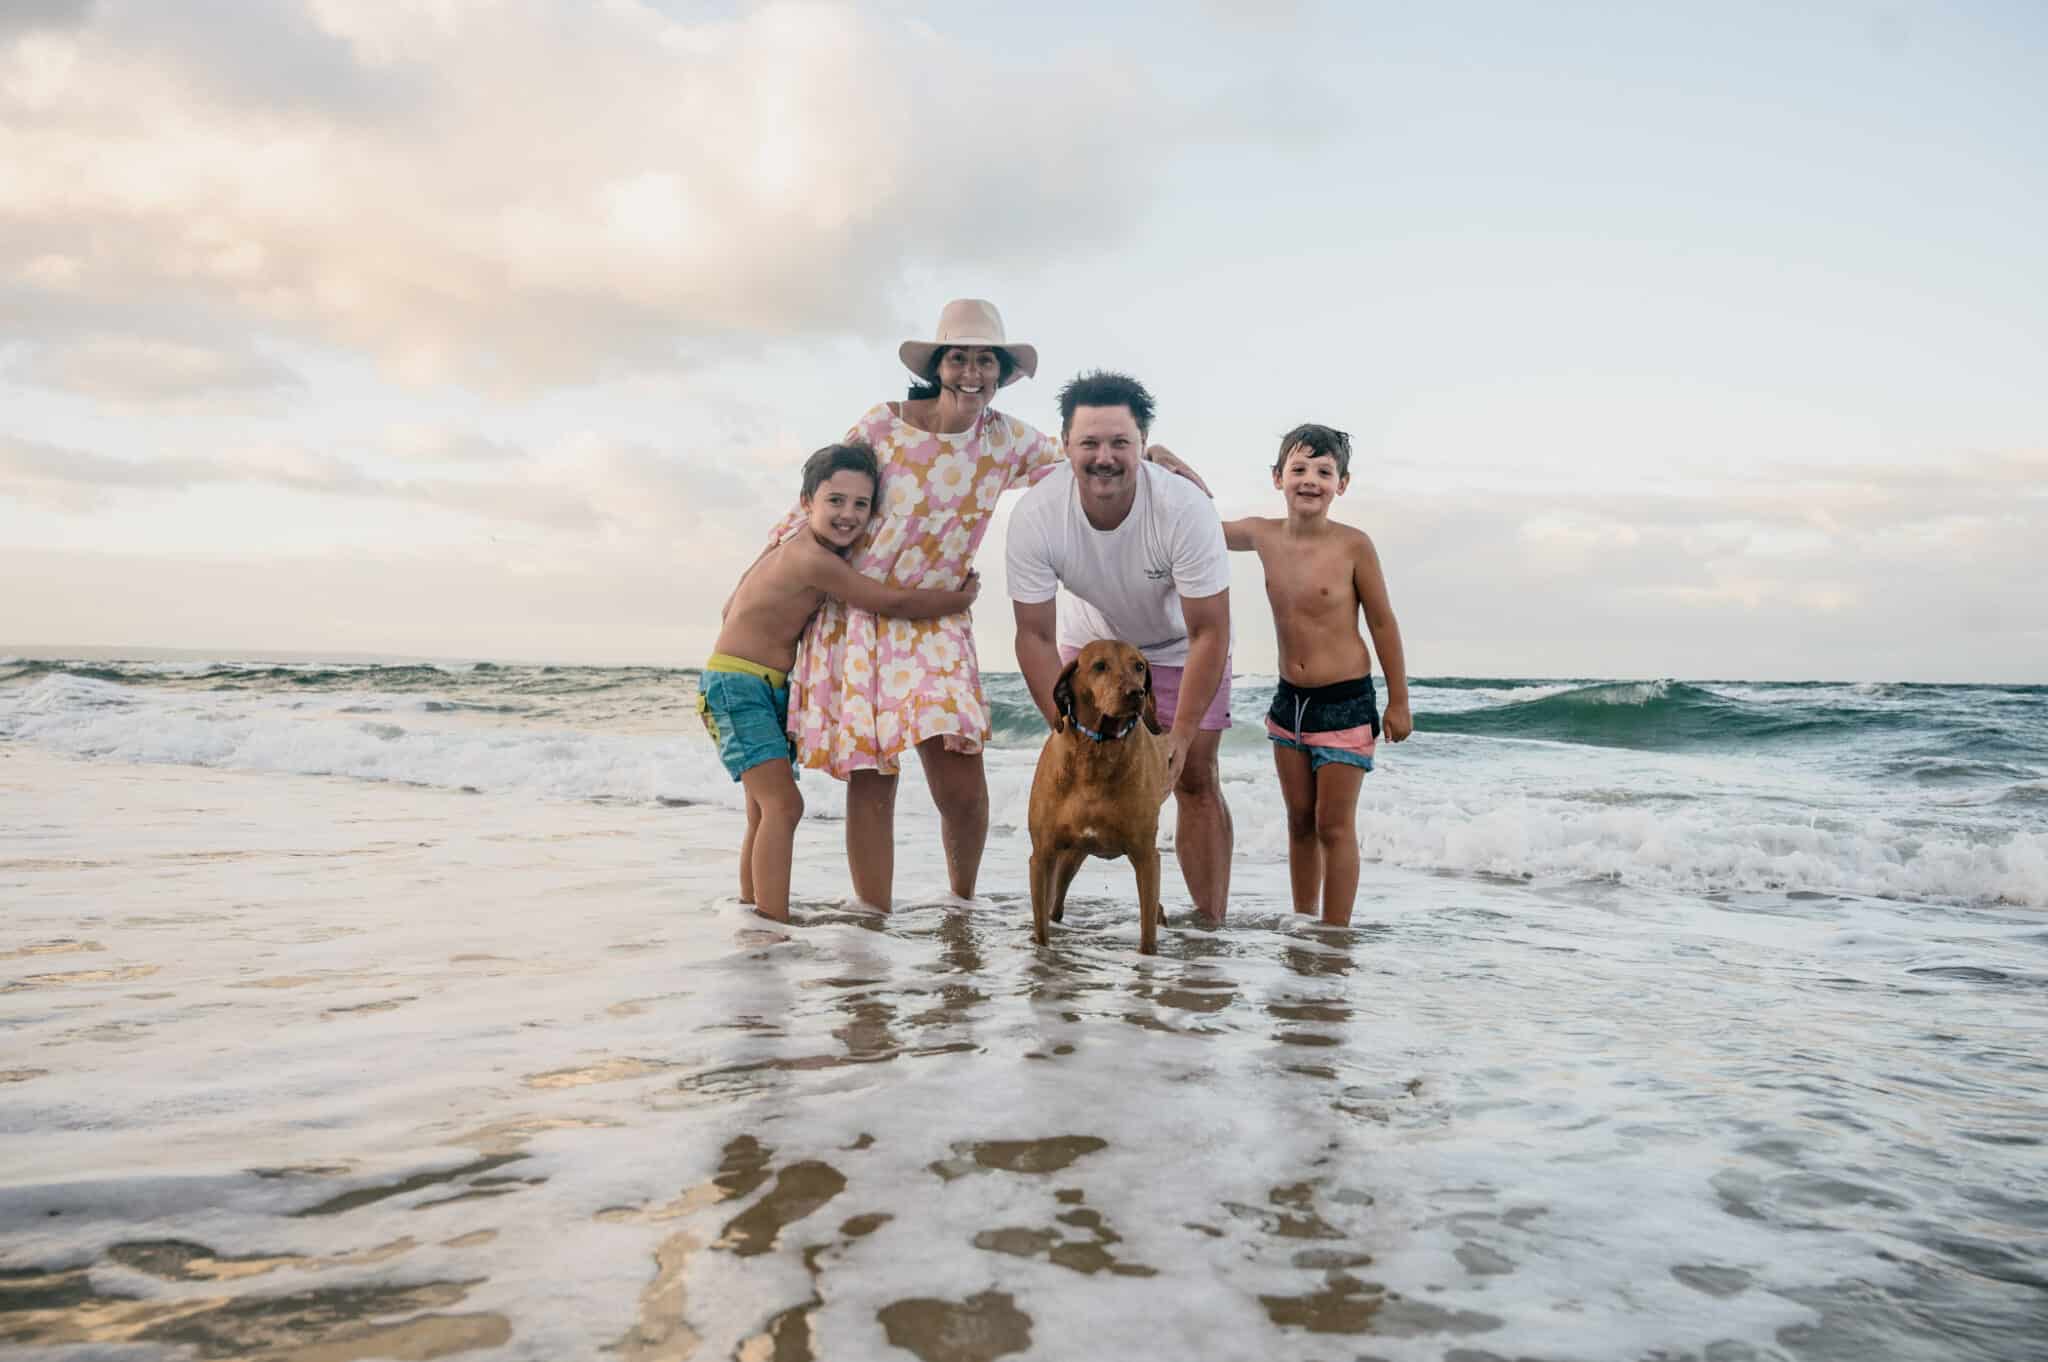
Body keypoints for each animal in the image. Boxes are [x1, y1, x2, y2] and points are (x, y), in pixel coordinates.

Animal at [1026, 639, 1170, 954]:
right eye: (1100, 666)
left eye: (1139, 666)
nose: (1136, 693)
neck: (1098, 751)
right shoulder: (1042, 855)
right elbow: (1041, 930)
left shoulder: (1146, 856)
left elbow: (1147, 935)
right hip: (1069, 857)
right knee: (1055, 905)